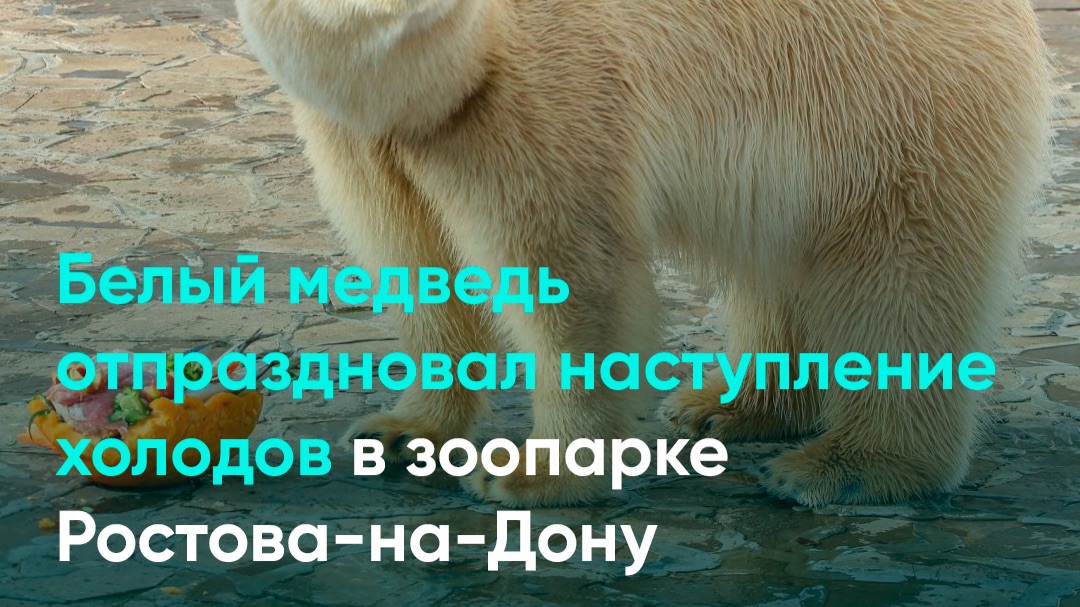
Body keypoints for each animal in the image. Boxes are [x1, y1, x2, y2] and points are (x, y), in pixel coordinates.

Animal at [234, 0, 1053, 507]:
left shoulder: (548, 92)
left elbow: (570, 272)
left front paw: (533, 474)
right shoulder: (362, 134)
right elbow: (410, 258)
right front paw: (403, 431)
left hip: (888, 96)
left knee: (902, 272)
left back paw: (843, 466)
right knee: (778, 262)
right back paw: (731, 405)